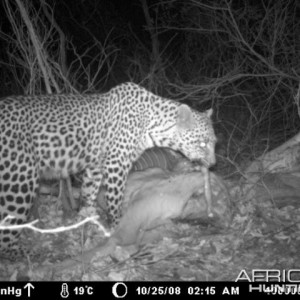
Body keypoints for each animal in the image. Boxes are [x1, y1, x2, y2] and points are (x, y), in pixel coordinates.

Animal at [0, 81, 216, 258]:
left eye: (214, 142)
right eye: (202, 143)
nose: (213, 163)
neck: (152, 124)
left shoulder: (95, 167)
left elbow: (89, 193)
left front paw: (87, 220)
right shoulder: (116, 165)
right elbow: (115, 200)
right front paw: (115, 225)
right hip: (21, 179)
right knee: (9, 227)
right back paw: (23, 254)